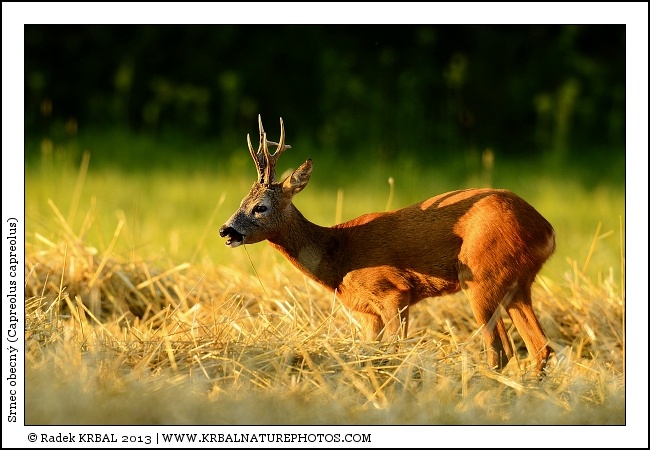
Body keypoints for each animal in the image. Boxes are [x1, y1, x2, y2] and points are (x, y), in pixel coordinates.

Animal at [219, 115, 556, 373]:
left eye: (260, 207)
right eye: (240, 202)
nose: (225, 230)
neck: (337, 256)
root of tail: (547, 229)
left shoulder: (394, 292)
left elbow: (394, 350)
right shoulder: (369, 313)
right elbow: (368, 351)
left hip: (481, 275)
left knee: (501, 350)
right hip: (516, 284)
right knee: (540, 347)